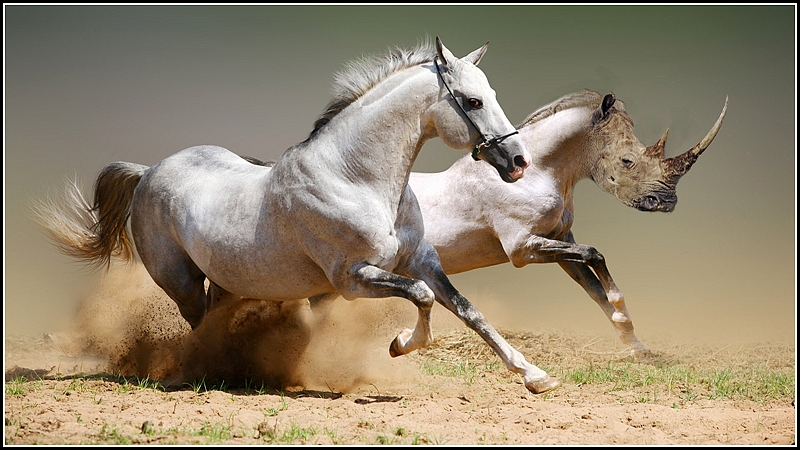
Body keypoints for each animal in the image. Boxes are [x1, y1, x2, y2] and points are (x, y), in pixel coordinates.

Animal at [36, 39, 568, 398]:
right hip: (180, 281)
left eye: (491, 93)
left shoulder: (421, 260)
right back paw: (207, 372)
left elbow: (467, 310)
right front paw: (400, 345)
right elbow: (420, 299)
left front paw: (535, 376)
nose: (518, 161)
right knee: (198, 325)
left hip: (228, 281)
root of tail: (148, 172)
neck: (355, 178)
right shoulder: (351, 279)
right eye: (473, 101)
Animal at [410, 89, 728, 356]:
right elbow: (594, 254)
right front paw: (621, 311)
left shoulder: (560, 238)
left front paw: (637, 346)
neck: (536, 173)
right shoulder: (521, 248)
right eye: (627, 161)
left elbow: (593, 286)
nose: (666, 202)